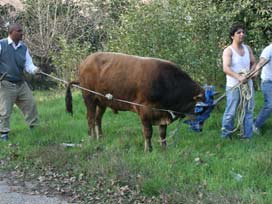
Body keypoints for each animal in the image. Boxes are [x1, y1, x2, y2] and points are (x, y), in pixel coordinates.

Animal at [65, 52, 203, 151]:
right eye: (200, 107)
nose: (201, 127)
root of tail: (85, 61)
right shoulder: (145, 111)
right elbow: (148, 132)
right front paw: (148, 150)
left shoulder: (162, 113)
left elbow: (162, 133)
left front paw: (164, 148)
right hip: (89, 98)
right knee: (90, 118)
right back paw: (93, 139)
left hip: (102, 102)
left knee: (98, 119)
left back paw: (101, 138)